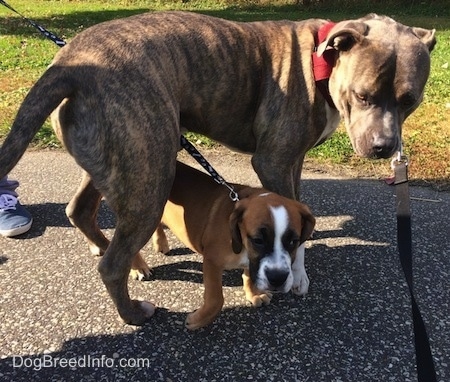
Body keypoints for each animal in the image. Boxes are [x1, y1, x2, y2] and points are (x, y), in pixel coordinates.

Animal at [149, 161, 314, 328]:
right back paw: (142, 269)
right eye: (258, 240)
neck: (241, 242)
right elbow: (216, 299)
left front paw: (254, 294)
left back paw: (160, 242)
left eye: (293, 241)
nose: (278, 279)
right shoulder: (212, 261)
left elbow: (248, 275)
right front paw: (198, 320)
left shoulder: (251, 261)